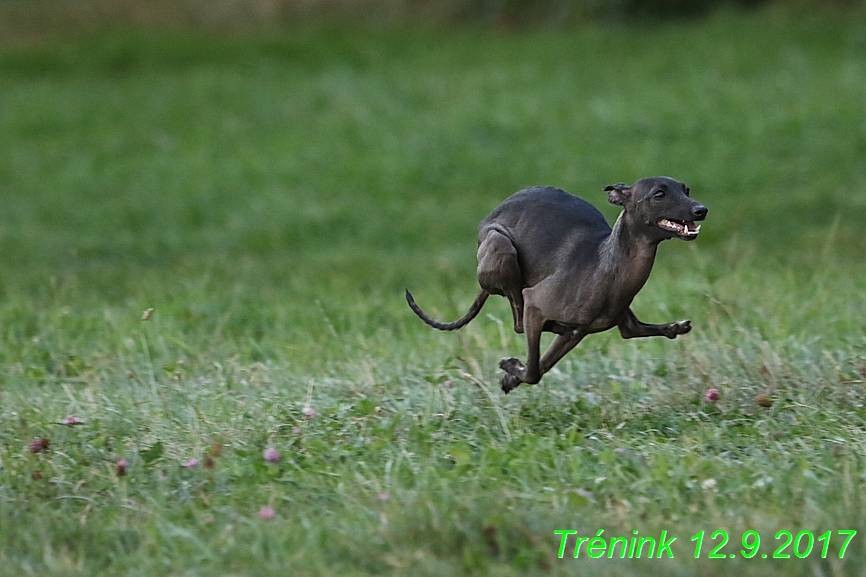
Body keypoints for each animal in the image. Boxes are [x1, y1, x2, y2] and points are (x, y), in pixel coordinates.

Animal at [404, 176, 704, 392]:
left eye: (686, 189)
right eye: (659, 194)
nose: (701, 210)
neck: (605, 263)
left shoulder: (587, 328)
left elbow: (544, 363)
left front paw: (511, 377)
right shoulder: (536, 303)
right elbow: (534, 370)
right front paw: (511, 366)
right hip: (501, 248)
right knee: (518, 322)